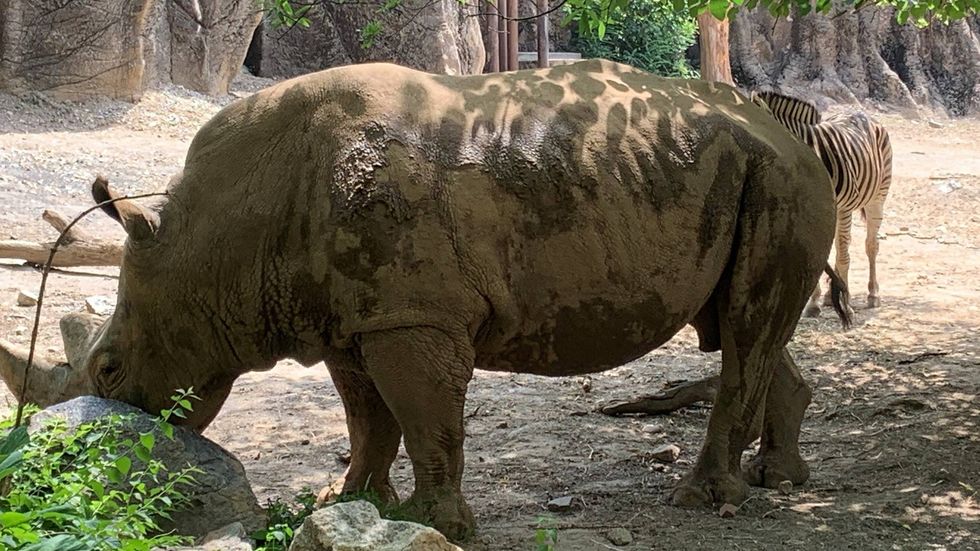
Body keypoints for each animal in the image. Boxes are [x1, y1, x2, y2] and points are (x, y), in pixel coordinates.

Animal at [0, 60, 849, 539]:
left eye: (110, 368)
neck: (217, 236)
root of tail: (794, 133)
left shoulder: (412, 315)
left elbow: (426, 418)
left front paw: (437, 523)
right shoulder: (351, 317)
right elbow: (368, 418)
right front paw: (353, 503)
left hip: (784, 181)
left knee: (744, 330)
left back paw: (701, 499)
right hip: (752, 176)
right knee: (743, 328)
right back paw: (781, 479)